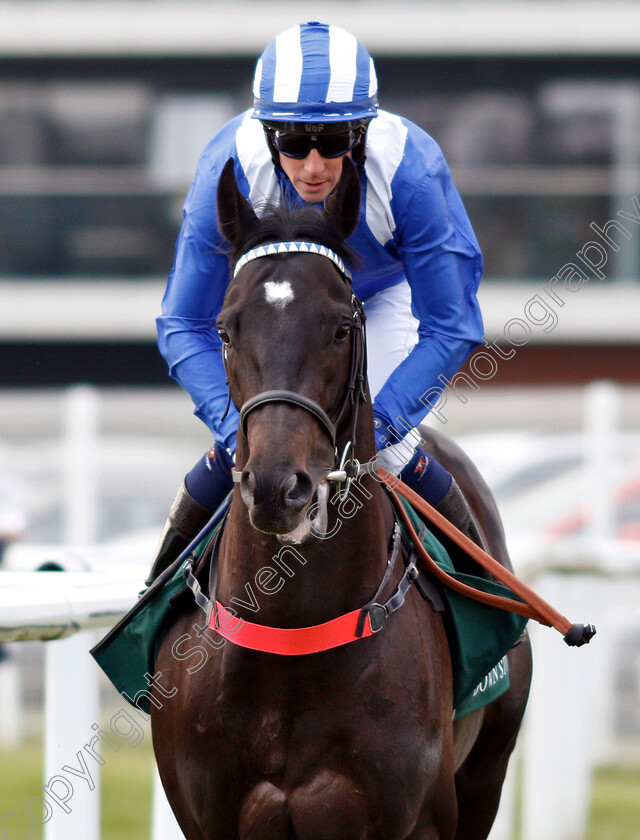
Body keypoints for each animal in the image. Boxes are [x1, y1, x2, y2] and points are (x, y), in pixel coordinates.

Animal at [152, 159, 532, 840]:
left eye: (340, 328)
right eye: (225, 328)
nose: (279, 486)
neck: (290, 641)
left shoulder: (418, 819)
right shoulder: (206, 818)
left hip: (487, 772)